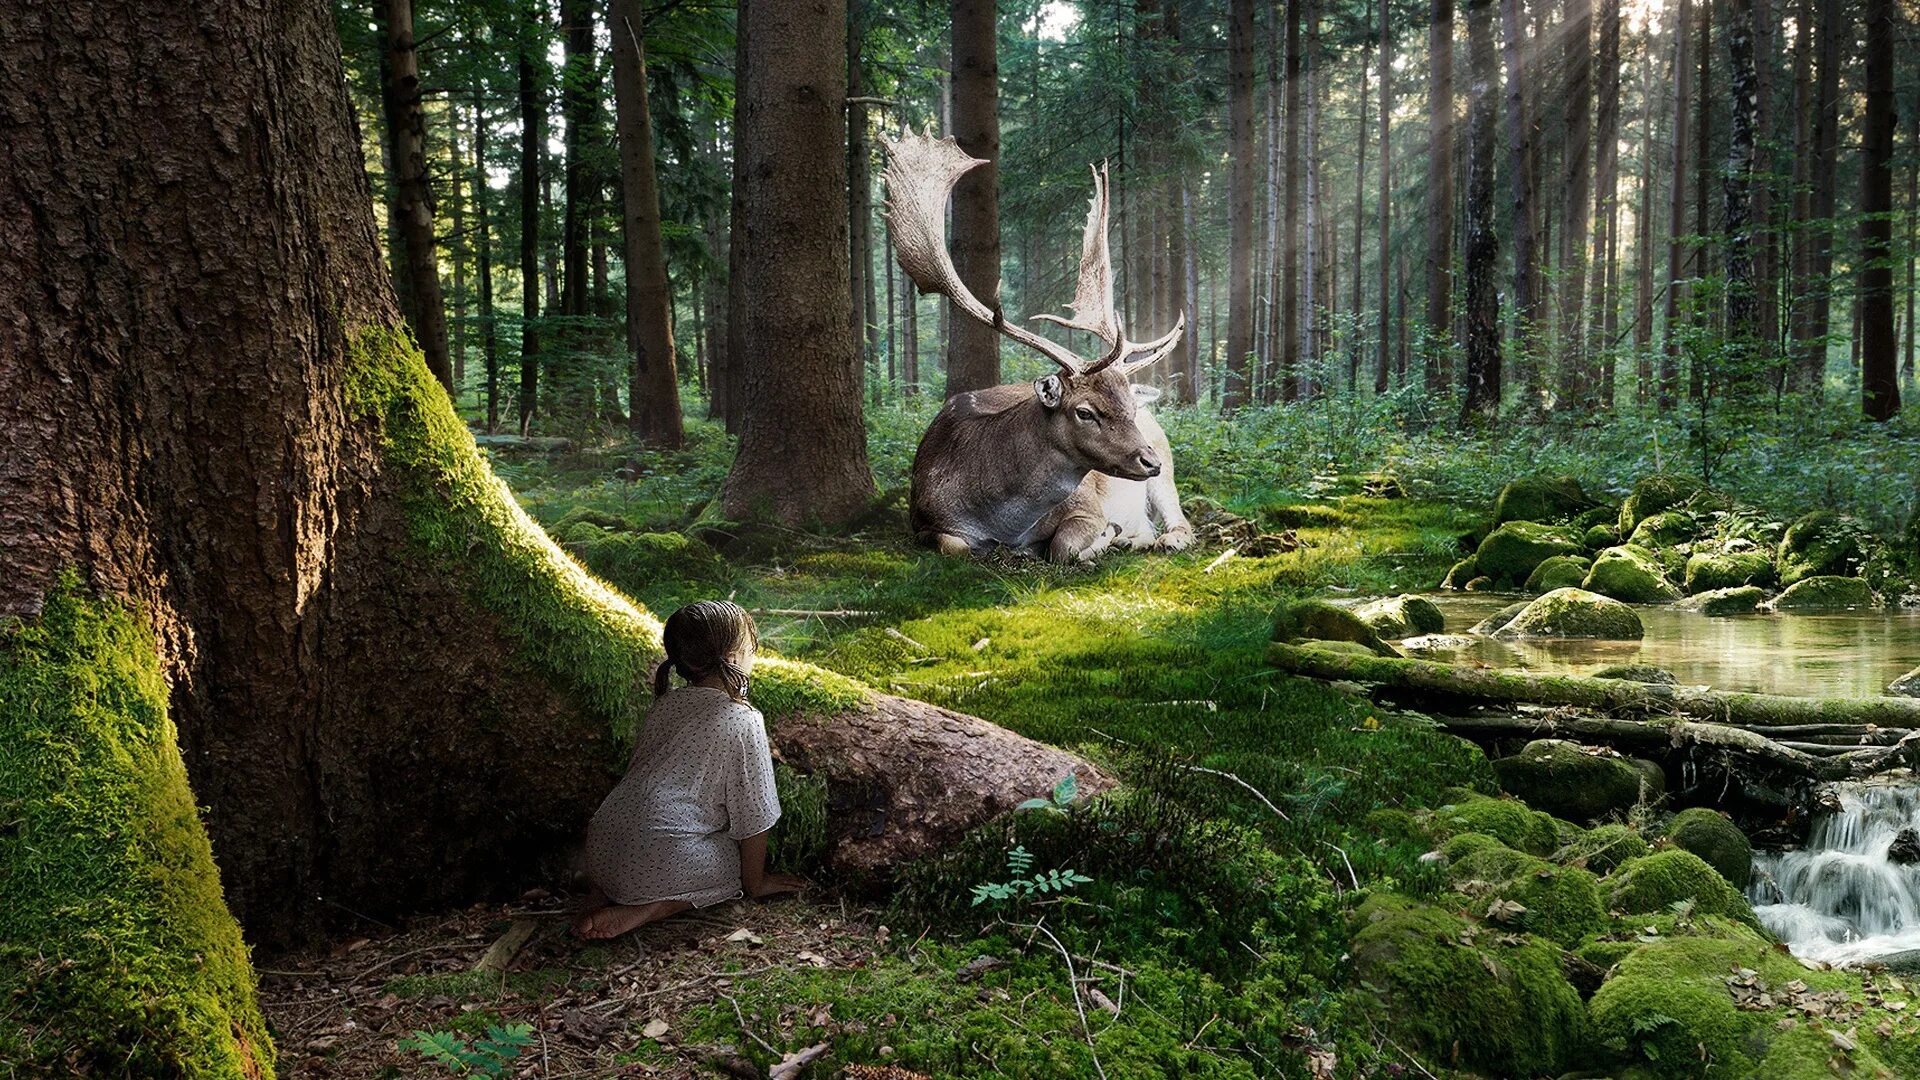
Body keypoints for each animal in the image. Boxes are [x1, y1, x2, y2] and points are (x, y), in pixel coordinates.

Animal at [883, 134, 1182, 564]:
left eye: (1129, 407)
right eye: (1085, 412)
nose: (1148, 461)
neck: (1001, 521)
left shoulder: (1087, 505)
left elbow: (1064, 546)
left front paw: (1101, 538)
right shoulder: (921, 518)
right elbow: (955, 546)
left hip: (1167, 462)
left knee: (1178, 520)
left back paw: (1160, 538)